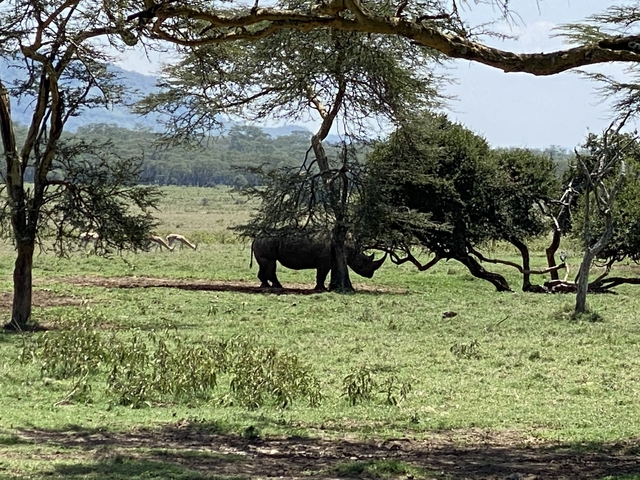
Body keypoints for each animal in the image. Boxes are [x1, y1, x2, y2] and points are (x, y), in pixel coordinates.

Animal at [251, 232, 386, 290]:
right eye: (363, 262)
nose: (370, 275)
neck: (348, 246)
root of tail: (255, 238)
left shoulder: (330, 260)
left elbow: (323, 274)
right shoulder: (324, 261)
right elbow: (321, 274)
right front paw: (321, 289)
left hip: (263, 244)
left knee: (264, 265)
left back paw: (265, 285)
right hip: (266, 243)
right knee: (270, 265)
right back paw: (278, 286)